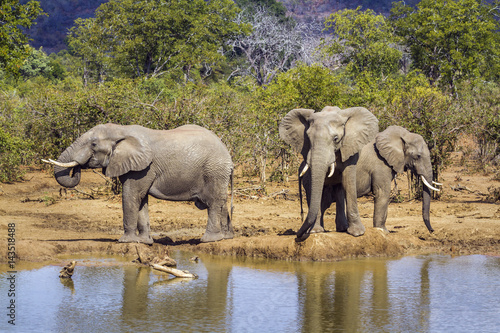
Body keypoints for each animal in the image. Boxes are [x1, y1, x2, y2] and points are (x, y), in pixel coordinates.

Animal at [42, 123, 233, 243]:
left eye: (94, 144)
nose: (79, 166)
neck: (121, 130)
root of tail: (227, 151)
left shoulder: (144, 167)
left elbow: (131, 196)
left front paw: (126, 242)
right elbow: (141, 200)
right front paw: (144, 242)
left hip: (214, 170)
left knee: (214, 202)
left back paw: (208, 240)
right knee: (222, 203)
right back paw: (226, 237)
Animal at [278, 105, 378, 240]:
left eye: (336, 139)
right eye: (308, 138)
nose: (298, 235)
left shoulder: (350, 146)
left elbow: (348, 182)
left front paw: (357, 233)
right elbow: (313, 185)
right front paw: (315, 231)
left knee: (340, 189)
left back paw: (342, 229)